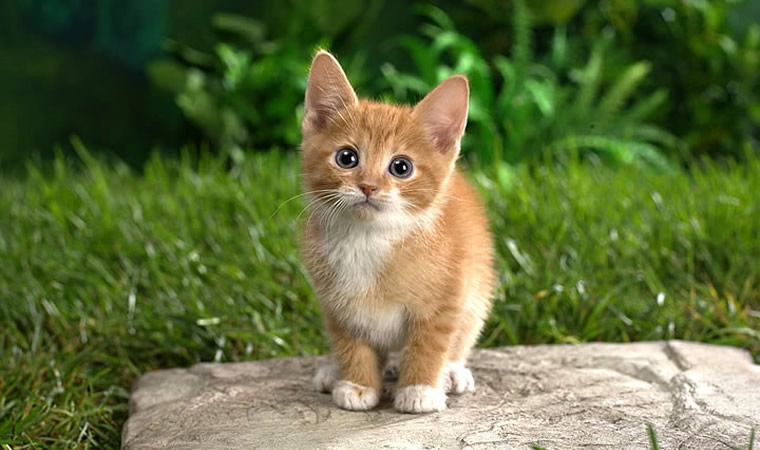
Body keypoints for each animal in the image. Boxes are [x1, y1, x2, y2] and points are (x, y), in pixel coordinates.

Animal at [300, 51, 496, 414]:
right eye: (346, 157)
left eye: (401, 167)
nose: (368, 186)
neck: (368, 238)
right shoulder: (337, 304)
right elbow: (350, 343)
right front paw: (358, 384)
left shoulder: (446, 298)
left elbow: (430, 344)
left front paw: (420, 389)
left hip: (478, 293)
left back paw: (451, 371)